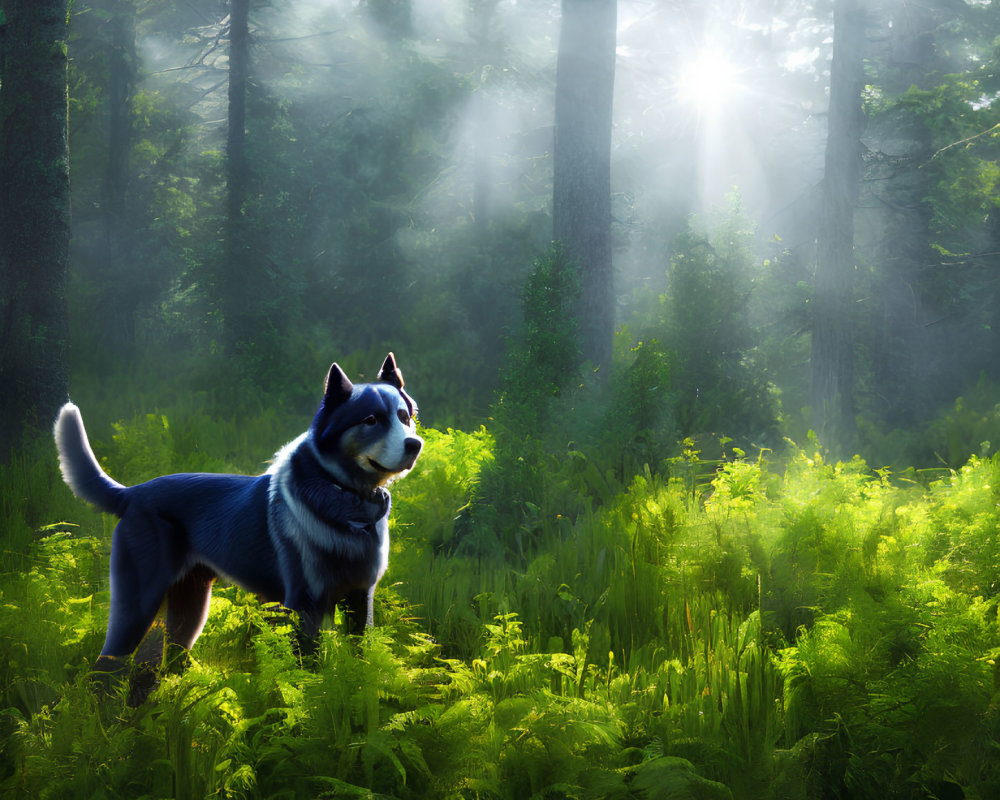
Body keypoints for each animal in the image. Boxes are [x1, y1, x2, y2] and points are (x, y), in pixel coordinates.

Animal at [54, 354, 422, 664]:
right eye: (371, 420)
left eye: (404, 418)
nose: (415, 444)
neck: (346, 504)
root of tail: (132, 493)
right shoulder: (304, 604)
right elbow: (309, 671)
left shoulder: (361, 598)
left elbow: (360, 660)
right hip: (137, 604)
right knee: (105, 667)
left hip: (190, 606)